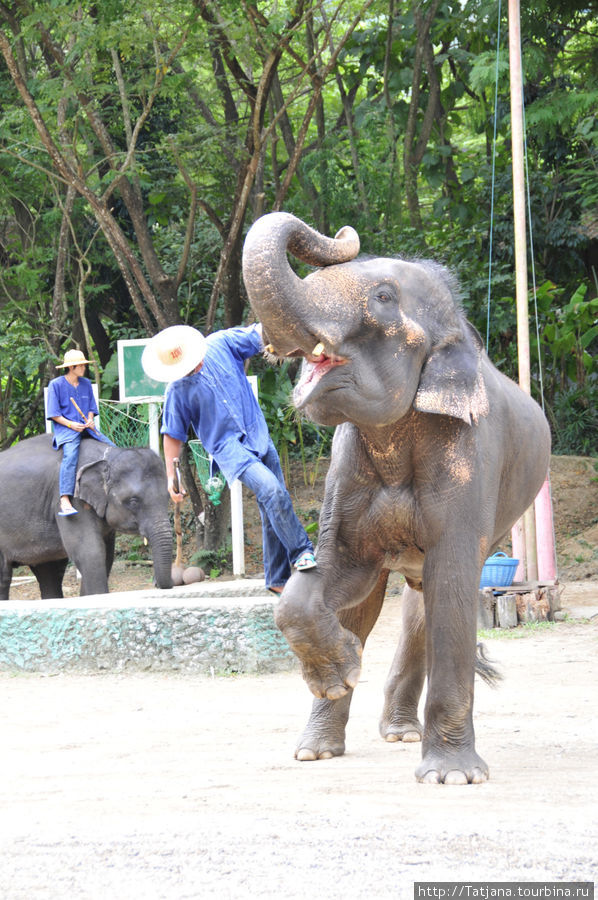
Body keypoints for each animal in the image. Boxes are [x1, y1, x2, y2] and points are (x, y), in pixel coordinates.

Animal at [0, 434, 173, 600]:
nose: (156, 583)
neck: (107, 455)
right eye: (133, 501)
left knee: (49, 572)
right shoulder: (69, 498)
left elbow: (106, 556)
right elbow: (90, 551)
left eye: (168, 497)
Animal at [241, 211, 552, 780]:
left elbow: (453, 584)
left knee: (427, 600)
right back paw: (325, 747)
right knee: (388, 606)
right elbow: (336, 574)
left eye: (384, 296)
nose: (342, 236)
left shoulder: (468, 455)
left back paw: (403, 737)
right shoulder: (345, 473)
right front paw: (340, 673)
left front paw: (453, 777)